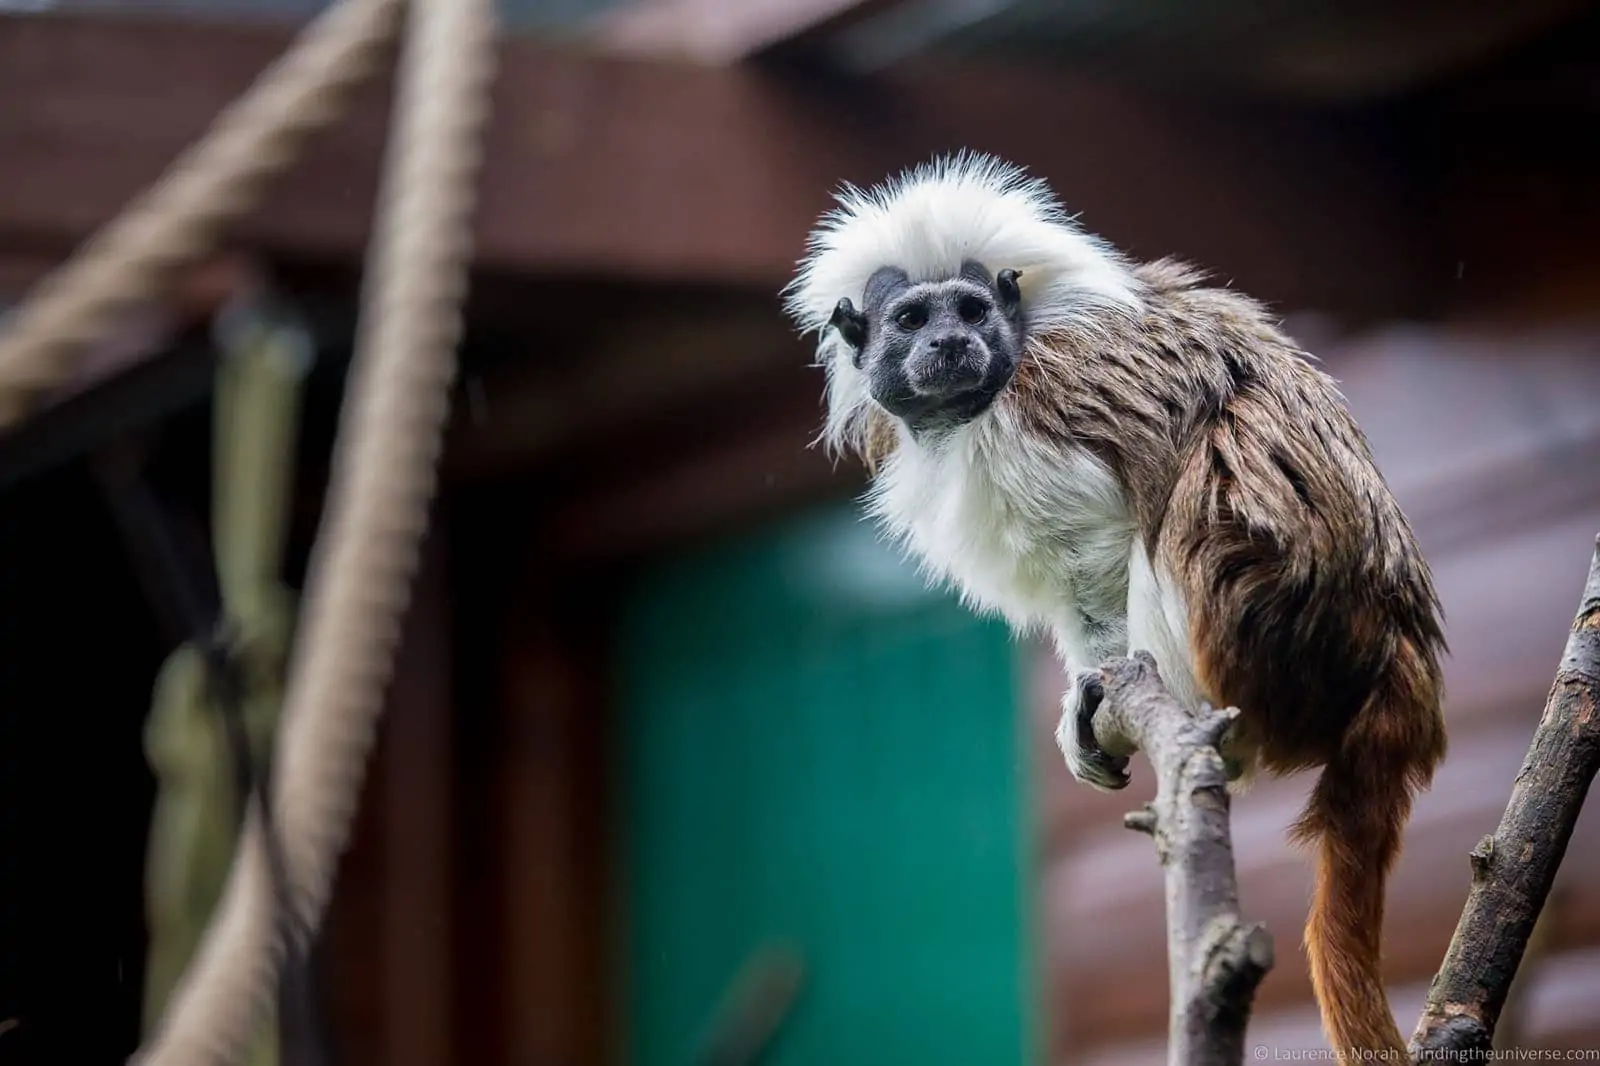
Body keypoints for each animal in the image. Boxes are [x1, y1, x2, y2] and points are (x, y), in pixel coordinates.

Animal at [783, 152, 1447, 1060]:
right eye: (911, 319)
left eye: (971, 311)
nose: (950, 343)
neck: (983, 395)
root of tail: (1398, 652)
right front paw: (1085, 699)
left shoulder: (1041, 415)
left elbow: (1108, 526)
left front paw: (1112, 685)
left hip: (1268, 624)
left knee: (1204, 479)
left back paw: (1200, 712)